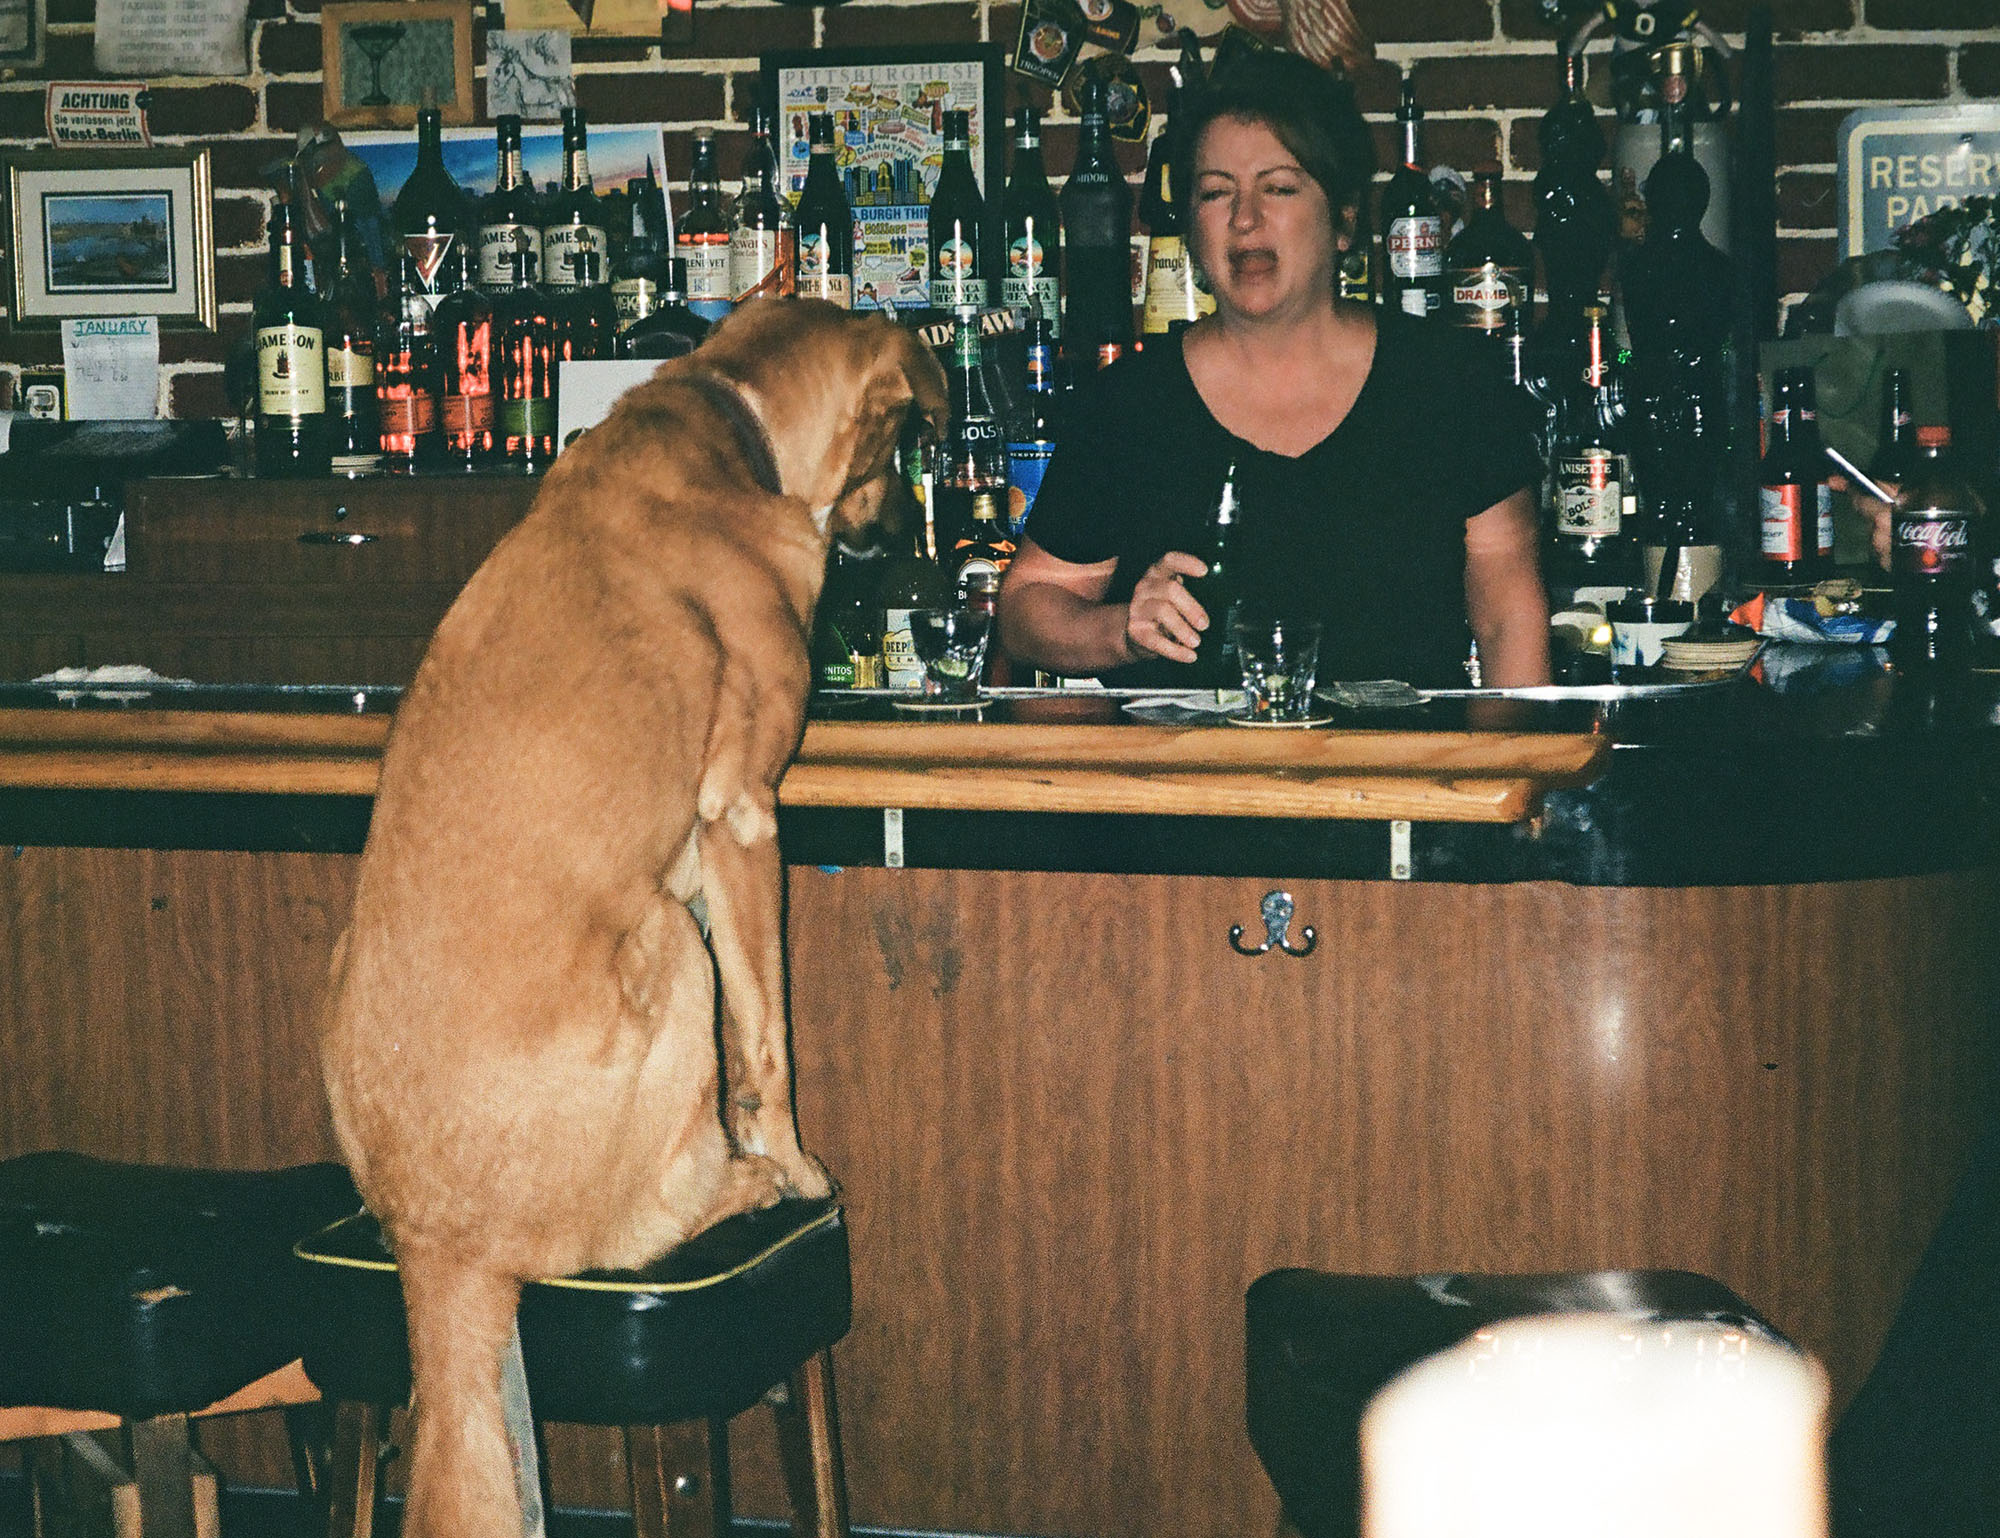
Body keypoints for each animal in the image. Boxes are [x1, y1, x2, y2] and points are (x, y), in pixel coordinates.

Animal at [319, 298, 948, 1538]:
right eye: (899, 447)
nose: (912, 541)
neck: (726, 417)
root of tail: (432, 1245)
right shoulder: (740, 821)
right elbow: (769, 1042)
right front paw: (792, 1161)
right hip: (666, 938)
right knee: (641, 1222)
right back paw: (743, 1184)